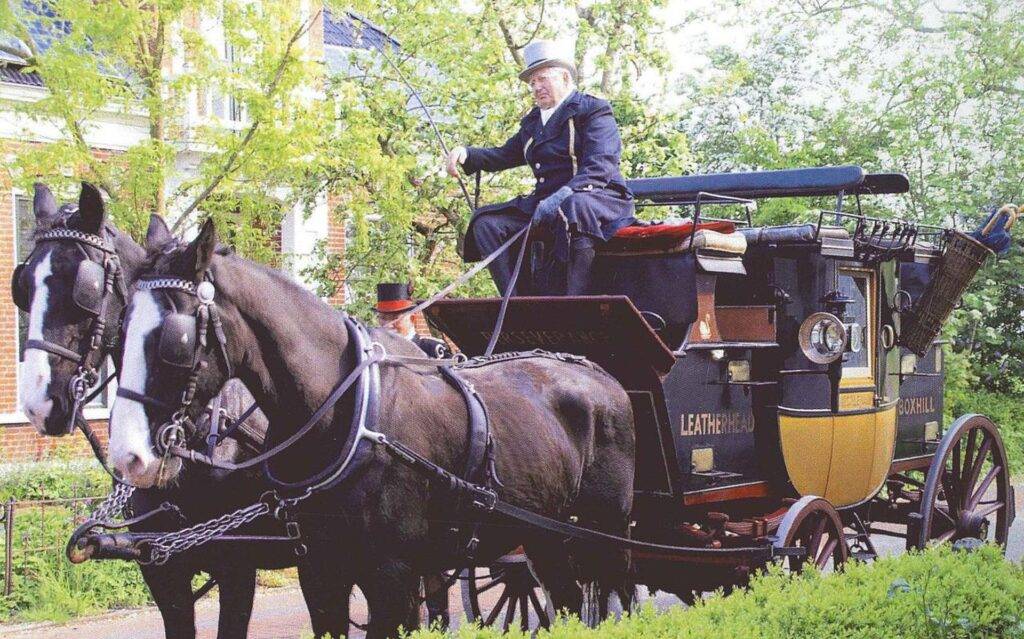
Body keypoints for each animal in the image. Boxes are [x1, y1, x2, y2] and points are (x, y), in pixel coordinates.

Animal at [112, 216, 634, 639]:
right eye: (120, 332)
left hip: (606, 534)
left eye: (177, 340)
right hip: (545, 535)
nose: (128, 458)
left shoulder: (389, 575)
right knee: (567, 601)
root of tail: (602, 376)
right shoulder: (319, 569)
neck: (349, 417)